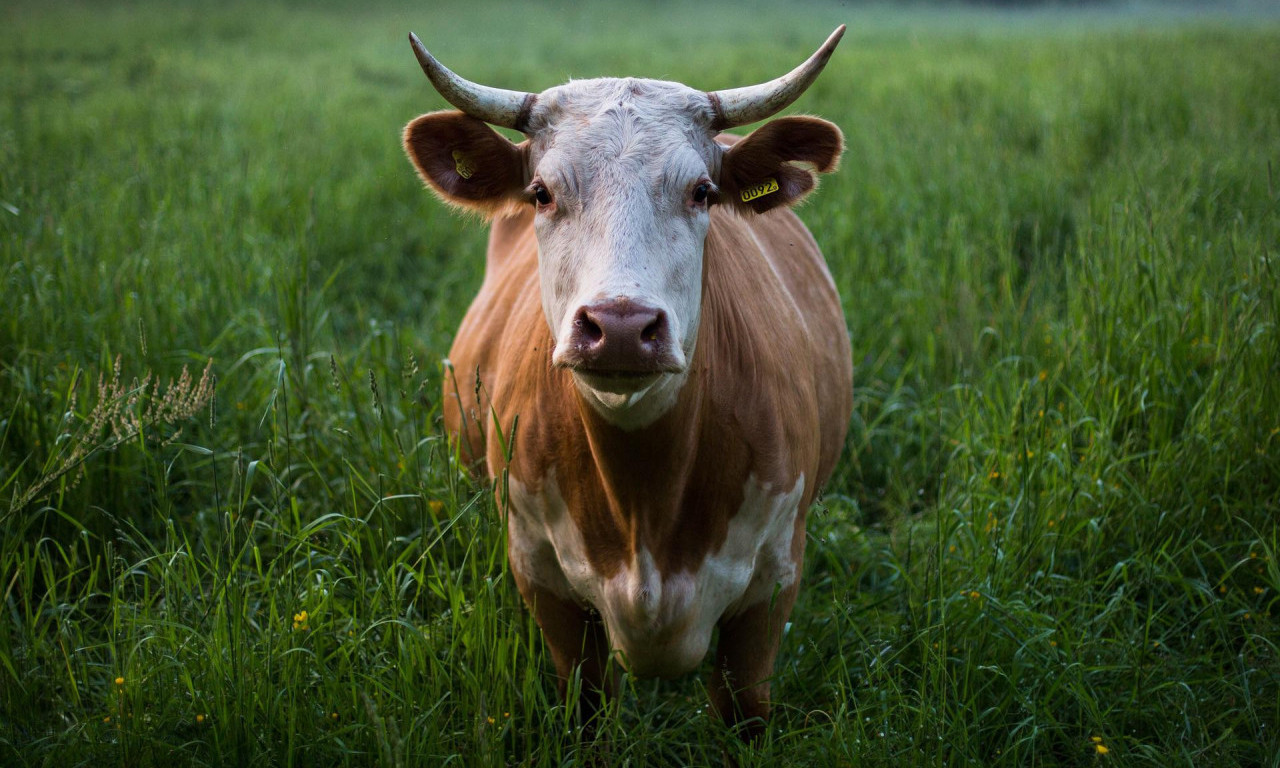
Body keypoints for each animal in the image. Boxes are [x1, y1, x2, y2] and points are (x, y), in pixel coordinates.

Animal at [404, 28, 855, 737]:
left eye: (702, 192)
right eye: (541, 192)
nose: (619, 326)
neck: (645, 499)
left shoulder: (772, 588)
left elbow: (744, 713)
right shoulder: (544, 581)